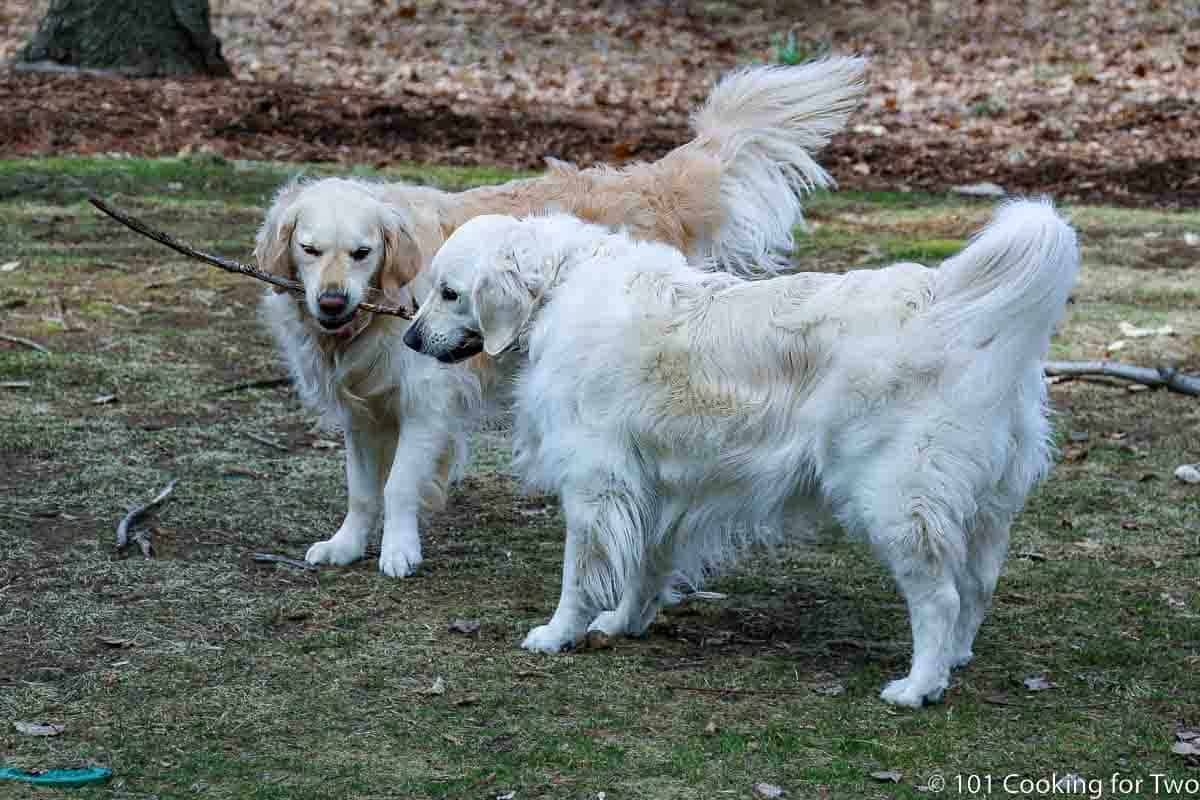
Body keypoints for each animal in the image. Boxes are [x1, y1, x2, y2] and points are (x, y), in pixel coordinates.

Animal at [258, 59, 868, 578]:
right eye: (310, 250)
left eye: (362, 253)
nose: (331, 302)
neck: (372, 316)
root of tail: (644, 181)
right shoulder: (361, 410)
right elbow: (362, 489)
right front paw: (346, 544)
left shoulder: (426, 403)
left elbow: (399, 486)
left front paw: (398, 552)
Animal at [400, 200, 1080, 705]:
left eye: (450, 292)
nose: (408, 338)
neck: (562, 285)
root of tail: (953, 309)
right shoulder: (658, 487)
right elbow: (643, 568)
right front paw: (622, 624)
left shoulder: (597, 480)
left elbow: (581, 573)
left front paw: (557, 633)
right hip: (983, 504)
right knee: (978, 586)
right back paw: (955, 661)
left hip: (896, 500)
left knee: (940, 598)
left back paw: (918, 686)